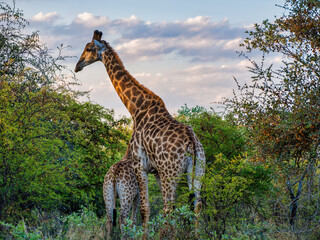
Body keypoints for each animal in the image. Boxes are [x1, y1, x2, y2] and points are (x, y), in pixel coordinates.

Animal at [75, 29, 205, 232]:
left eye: (88, 48)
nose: (77, 66)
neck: (136, 108)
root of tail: (192, 141)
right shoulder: (157, 171)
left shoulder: (140, 164)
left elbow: (144, 209)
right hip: (198, 169)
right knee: (195, 204)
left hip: (171, 172)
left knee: (168, 208)